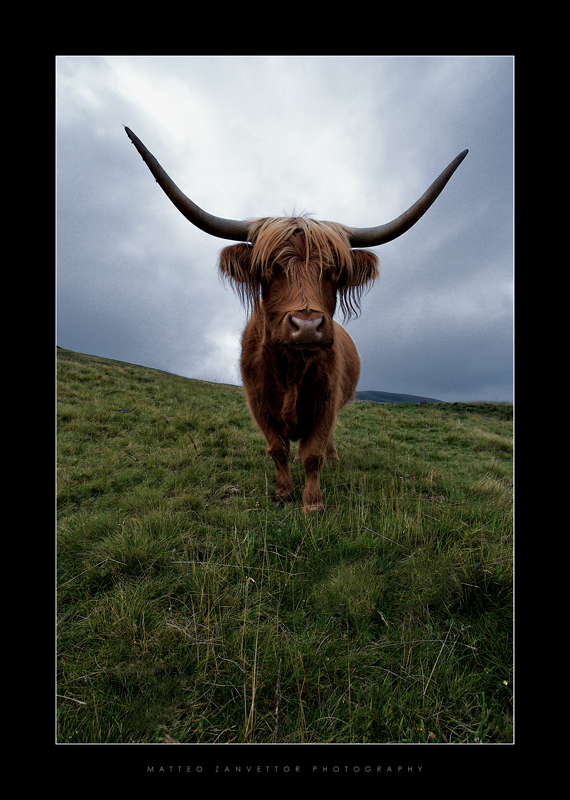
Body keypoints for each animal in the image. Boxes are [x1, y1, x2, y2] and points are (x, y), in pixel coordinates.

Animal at [125, 127, 467, 512]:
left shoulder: (324, 404)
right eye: (270, 269)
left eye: (334, 272)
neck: (290, 370)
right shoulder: (259, 405)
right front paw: (283, 493)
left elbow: (312, 454)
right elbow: (277, 450)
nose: (306, 326)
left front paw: (312, 504)